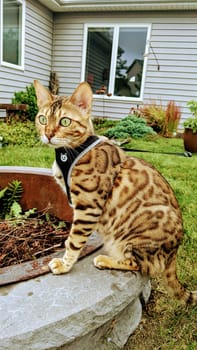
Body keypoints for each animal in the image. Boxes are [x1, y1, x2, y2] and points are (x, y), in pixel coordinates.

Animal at [34, 79, 197, 304]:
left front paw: (65, 264)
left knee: (141, 267)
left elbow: (75, 240)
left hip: (132, 237)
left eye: (65, 121)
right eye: (42, 119)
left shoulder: (88, 207)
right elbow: (71, 237)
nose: (48, 134)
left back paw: (106, 259)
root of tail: (174, 254)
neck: (70, 153)